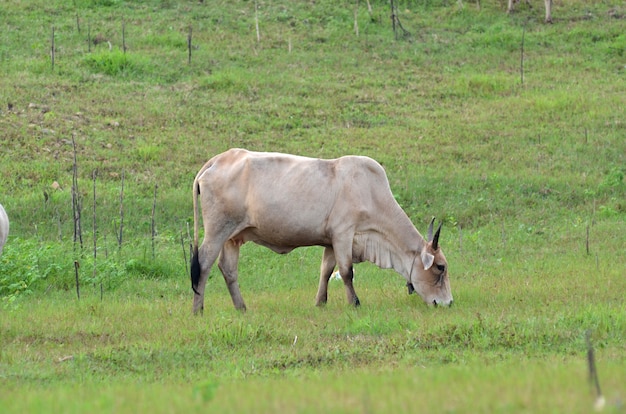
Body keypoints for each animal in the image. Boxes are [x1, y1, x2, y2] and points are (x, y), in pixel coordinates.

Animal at [188, 149, 450, 314]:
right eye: (440, 267)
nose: (447, 303)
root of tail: (218, 159)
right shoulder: (344, 233)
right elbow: (346, 272)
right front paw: (355, 303)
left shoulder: (330, 241)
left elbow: (326, 271)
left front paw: (320, 302)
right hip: (217, 231)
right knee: (203, 263)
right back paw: (198, 309)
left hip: (233, 237)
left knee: (228, 270)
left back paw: (241, 308)